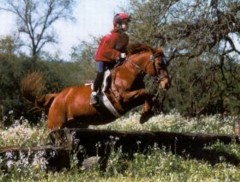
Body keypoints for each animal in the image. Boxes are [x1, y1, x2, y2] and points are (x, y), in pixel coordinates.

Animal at [21, 44, 170, 130]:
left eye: (166, 63)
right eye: (160, 64)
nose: (167, 84)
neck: (129, 72)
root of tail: (57, 96)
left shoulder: (131, 99)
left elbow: (148, 95)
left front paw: (148, 112)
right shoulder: (123, 98)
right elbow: (145, 92)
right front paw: (145, 114)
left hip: (77, 124)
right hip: (55, 124)